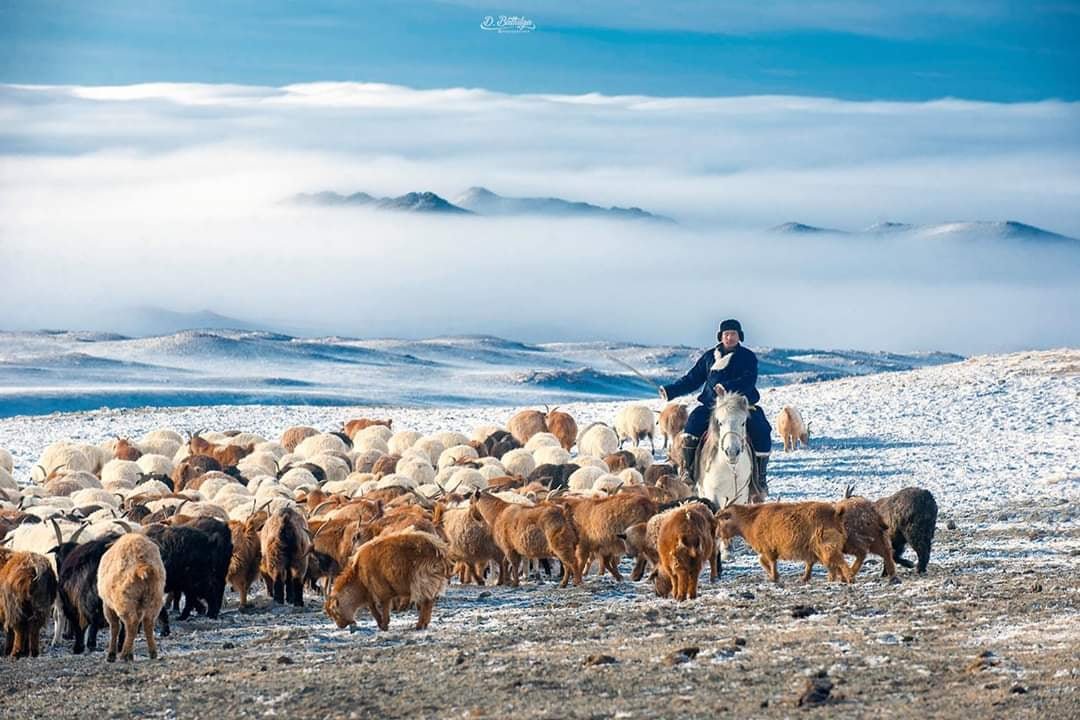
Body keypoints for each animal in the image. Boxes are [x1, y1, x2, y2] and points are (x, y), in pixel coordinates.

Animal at [717, 500, 851, 587]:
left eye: (723, 519)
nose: (717, 534)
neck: (752, 520)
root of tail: (835, 513)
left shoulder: (768, 547)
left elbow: (770, 562)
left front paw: (774, 577)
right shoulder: (769, 549)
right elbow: (763, 561)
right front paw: (774, 575)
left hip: (825, 544)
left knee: (838, 561)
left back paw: (847, 578)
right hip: (820, 547)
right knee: (831, 562)